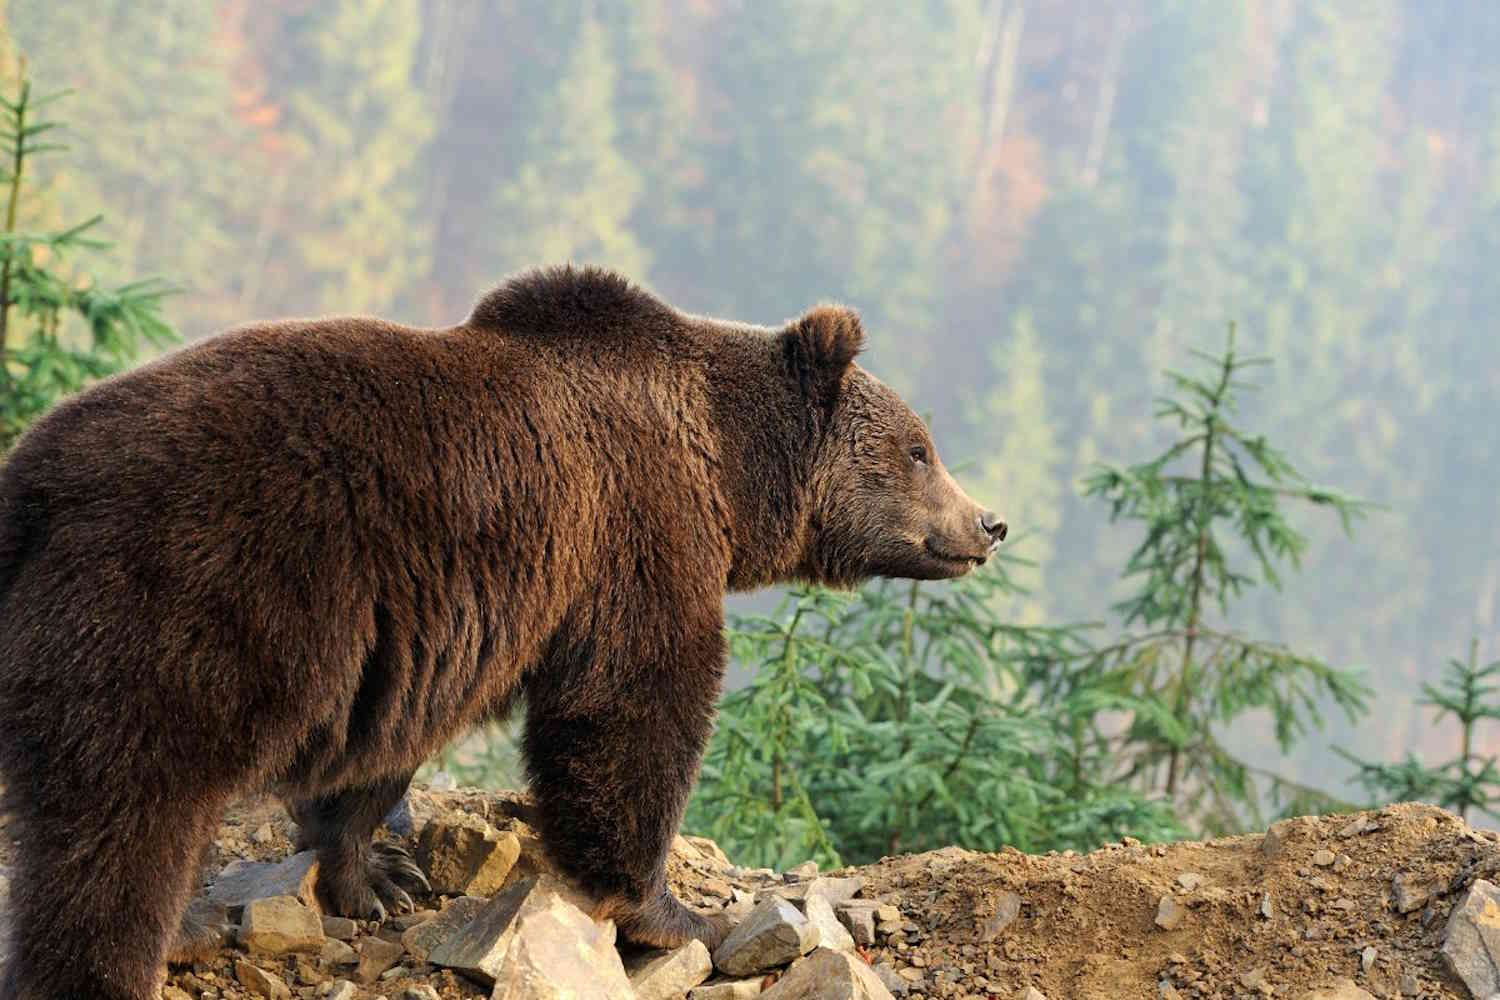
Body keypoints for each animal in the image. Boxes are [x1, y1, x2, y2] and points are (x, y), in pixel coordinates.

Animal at [0, 265, 1008, 1000]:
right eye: (920, 448)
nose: (989, 524)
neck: (726, 473)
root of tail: (32, 485)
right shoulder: (631, 535)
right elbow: (634, 707)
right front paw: (673, 912)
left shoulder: (426, 626)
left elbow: (383, 752)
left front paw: (377, 876)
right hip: (183, 607)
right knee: (123, 827)